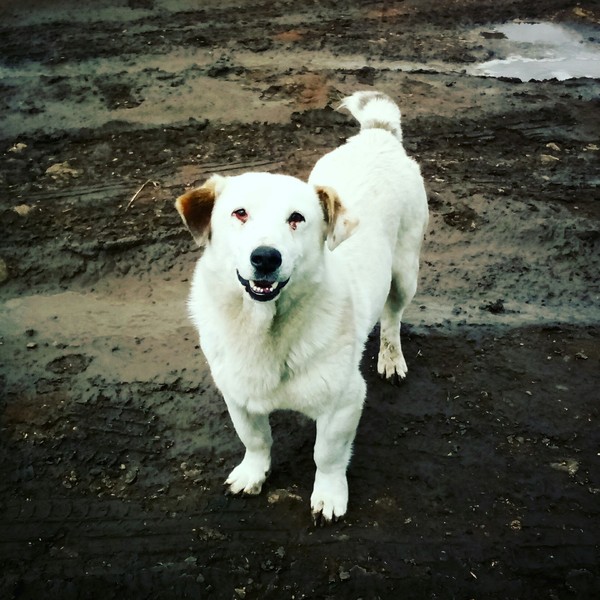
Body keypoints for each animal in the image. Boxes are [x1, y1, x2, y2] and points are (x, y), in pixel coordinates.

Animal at [176, 90, 428, 524]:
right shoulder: (237, 396)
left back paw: (391, 358)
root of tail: (379, 135)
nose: (265, 257)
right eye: (239, 213)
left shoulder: (345, 402)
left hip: (404, 273)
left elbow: (326, 456)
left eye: (297, 219)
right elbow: (255, 439)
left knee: (392, 318)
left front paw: (328, 495)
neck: (266, 330)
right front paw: (253, 473)